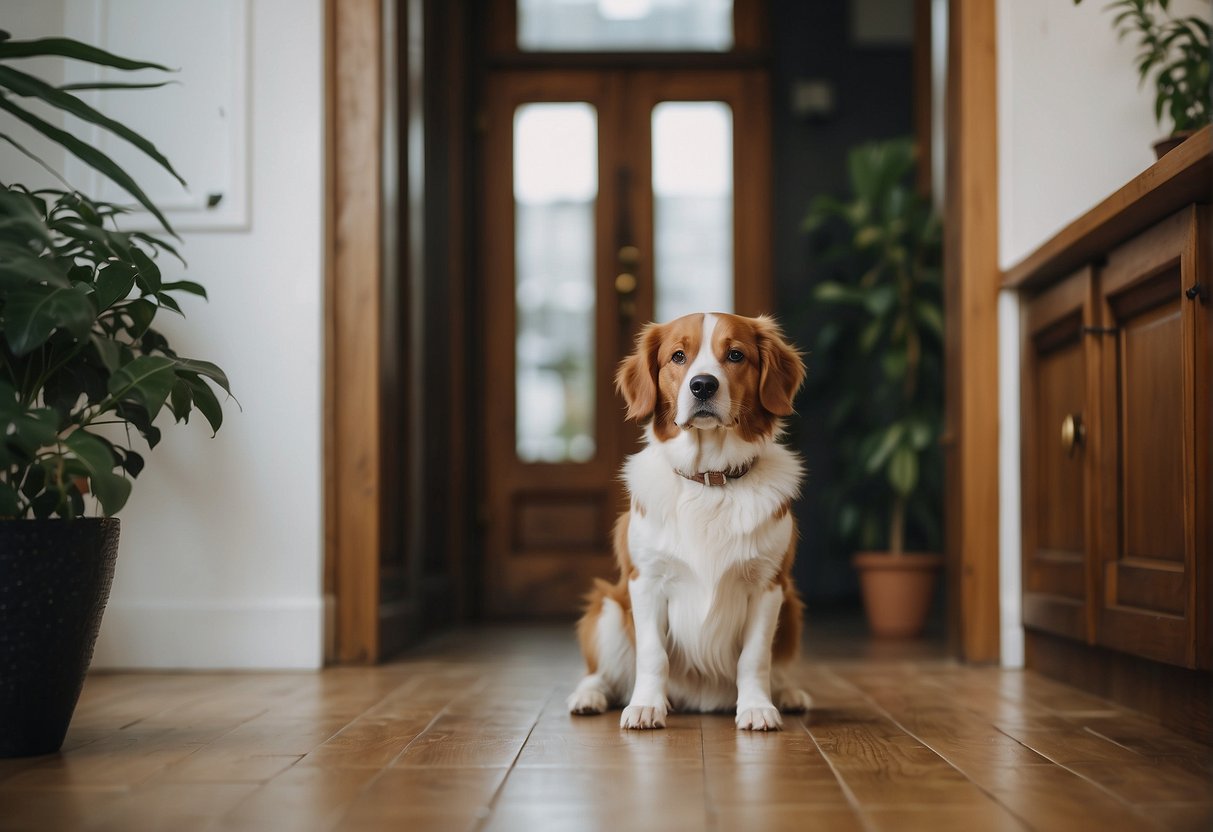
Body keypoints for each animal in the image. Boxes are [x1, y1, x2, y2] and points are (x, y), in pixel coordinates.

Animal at [565, 315, 810, 732]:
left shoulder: (768, 586)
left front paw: (756, 707)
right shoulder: (646, 581)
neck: (710, 479)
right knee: (601, 675)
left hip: (791, 611)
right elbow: (652, 655)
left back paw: (790, 693)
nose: (703, 385)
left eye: (735, 355)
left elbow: (754, 658)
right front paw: (646, 706)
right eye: (678, 356)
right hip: (609, 608)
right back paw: (588, 697)